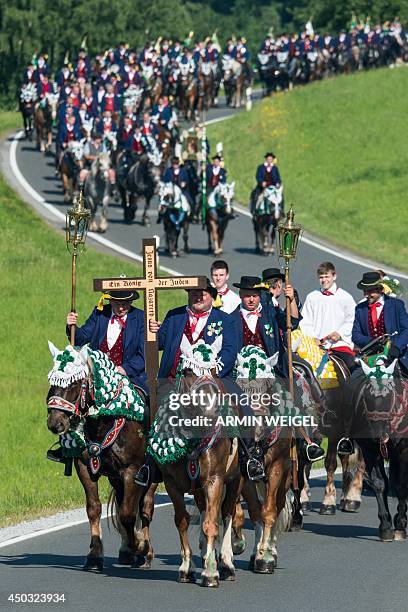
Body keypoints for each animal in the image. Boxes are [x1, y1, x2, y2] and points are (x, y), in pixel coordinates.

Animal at [45, 344, 155, 568]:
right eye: (53, 381)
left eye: (75, 382)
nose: (55, 423)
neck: (104, 422)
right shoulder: (85, 468)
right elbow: (94, 508)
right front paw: (95, 554)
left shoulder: (132, 472)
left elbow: (128, 514)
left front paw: (139, 545)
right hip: (117, 479)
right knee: (125, 503)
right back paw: (126, 550)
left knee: (145, 507)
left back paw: (145, 551)